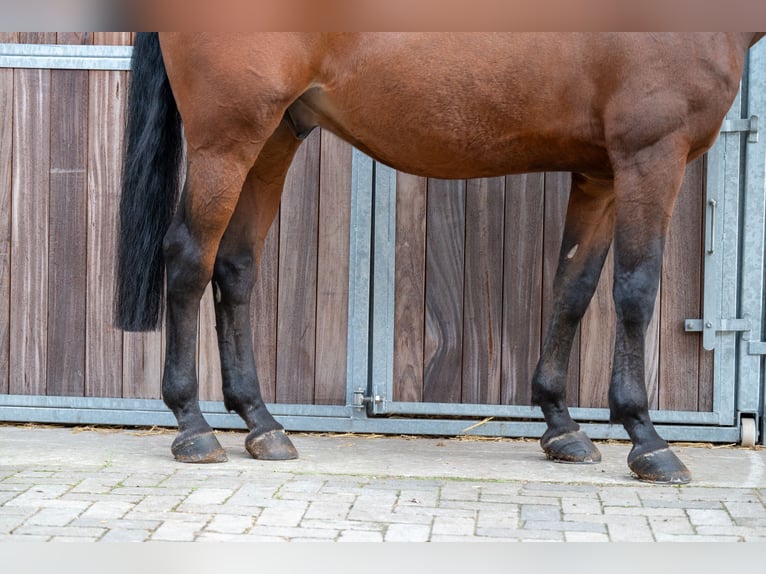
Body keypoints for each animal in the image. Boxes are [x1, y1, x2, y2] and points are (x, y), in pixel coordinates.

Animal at [115, 30, 766, 482]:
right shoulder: (649, 157)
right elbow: (635, 292)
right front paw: (648, 441)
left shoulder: (600, 176)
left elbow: (572, 290)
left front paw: (561, 429)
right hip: (226, 138)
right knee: (189, 259)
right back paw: (194, 429)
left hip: (275, 135)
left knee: (235, 268)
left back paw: (262, 425)